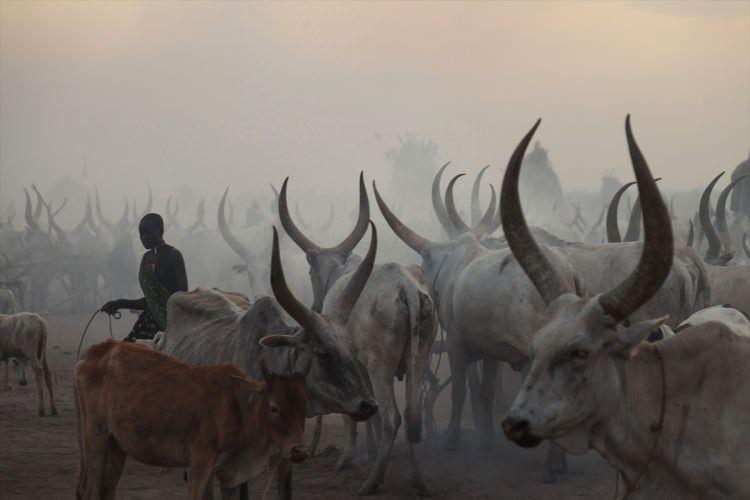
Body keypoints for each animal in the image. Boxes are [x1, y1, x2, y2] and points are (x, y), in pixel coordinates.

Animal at [74, 340, 309, 500]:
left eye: (304, 407)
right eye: (274, 408)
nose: (299, 450)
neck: (239, 408)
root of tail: (100, 349)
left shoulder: (230, 476)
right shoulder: (199, 466)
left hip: (117, 445)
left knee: (107, 489)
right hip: (96, 438)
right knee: (88, 490)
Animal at [279, 174, 437, 495]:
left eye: (309, 272)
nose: (315, 306)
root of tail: (407, 288)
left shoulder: (353, 365)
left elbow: (353, 413)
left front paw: (350, 457)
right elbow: (367, 410)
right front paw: (369, 450)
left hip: (381, 365)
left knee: (392, 418)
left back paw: (371, 482)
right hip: (420, 358)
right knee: (412, 416)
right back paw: (418, 481)